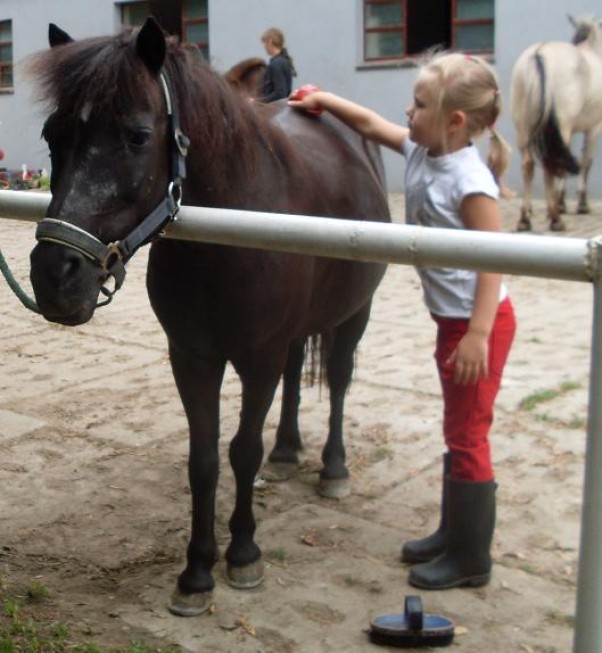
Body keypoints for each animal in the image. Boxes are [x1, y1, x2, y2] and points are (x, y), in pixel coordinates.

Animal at [29, 16, 390, 616]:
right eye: (52, 135)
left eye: (137, 136)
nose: (54, 277)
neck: (229, 241)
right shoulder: (192, 358)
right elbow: (203, 461)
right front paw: (196, 572)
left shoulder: (258, 360)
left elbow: (242, 451)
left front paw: (242, 555)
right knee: (298, 375)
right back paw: (288, 452)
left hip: (353, 314)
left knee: (338, 381)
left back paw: (332, 469)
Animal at [508, 14, 600, 232]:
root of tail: (538, 54)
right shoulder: (593, 128)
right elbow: (586, 162)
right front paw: (580, 204)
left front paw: (562, 202)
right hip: (560, 126)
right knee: (549, 165)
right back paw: (555, 219)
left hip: (524, 128)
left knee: (530, 165)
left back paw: (525, 219)